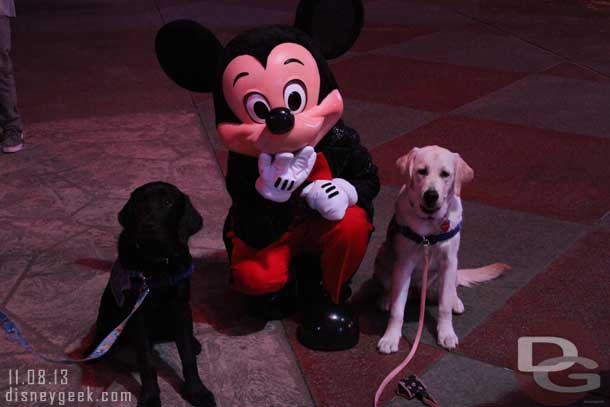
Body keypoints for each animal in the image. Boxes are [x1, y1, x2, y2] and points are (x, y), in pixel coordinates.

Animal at [90, 182, 214, 407]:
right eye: (139, 204)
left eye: (167, 202)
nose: (147, 226)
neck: (156, 263)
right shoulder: (138, 315)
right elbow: (147, 360)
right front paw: (150, 396)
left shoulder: (180, 306)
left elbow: (188, 357)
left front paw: (197, 391)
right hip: (108, 313)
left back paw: (193, 341)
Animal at [372, 147, 506, 354]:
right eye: (422, 171)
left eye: (445, 174)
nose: (431, 195)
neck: (430, 224)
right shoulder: (404, 265)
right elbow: (397, 309)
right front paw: (390, 337)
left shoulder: (449, 261)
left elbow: (443, 307)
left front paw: (446, 334)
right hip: (382, 257)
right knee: (389, 288)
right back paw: (386, 298)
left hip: (452, 270)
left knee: (451, 291)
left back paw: (455, 301)